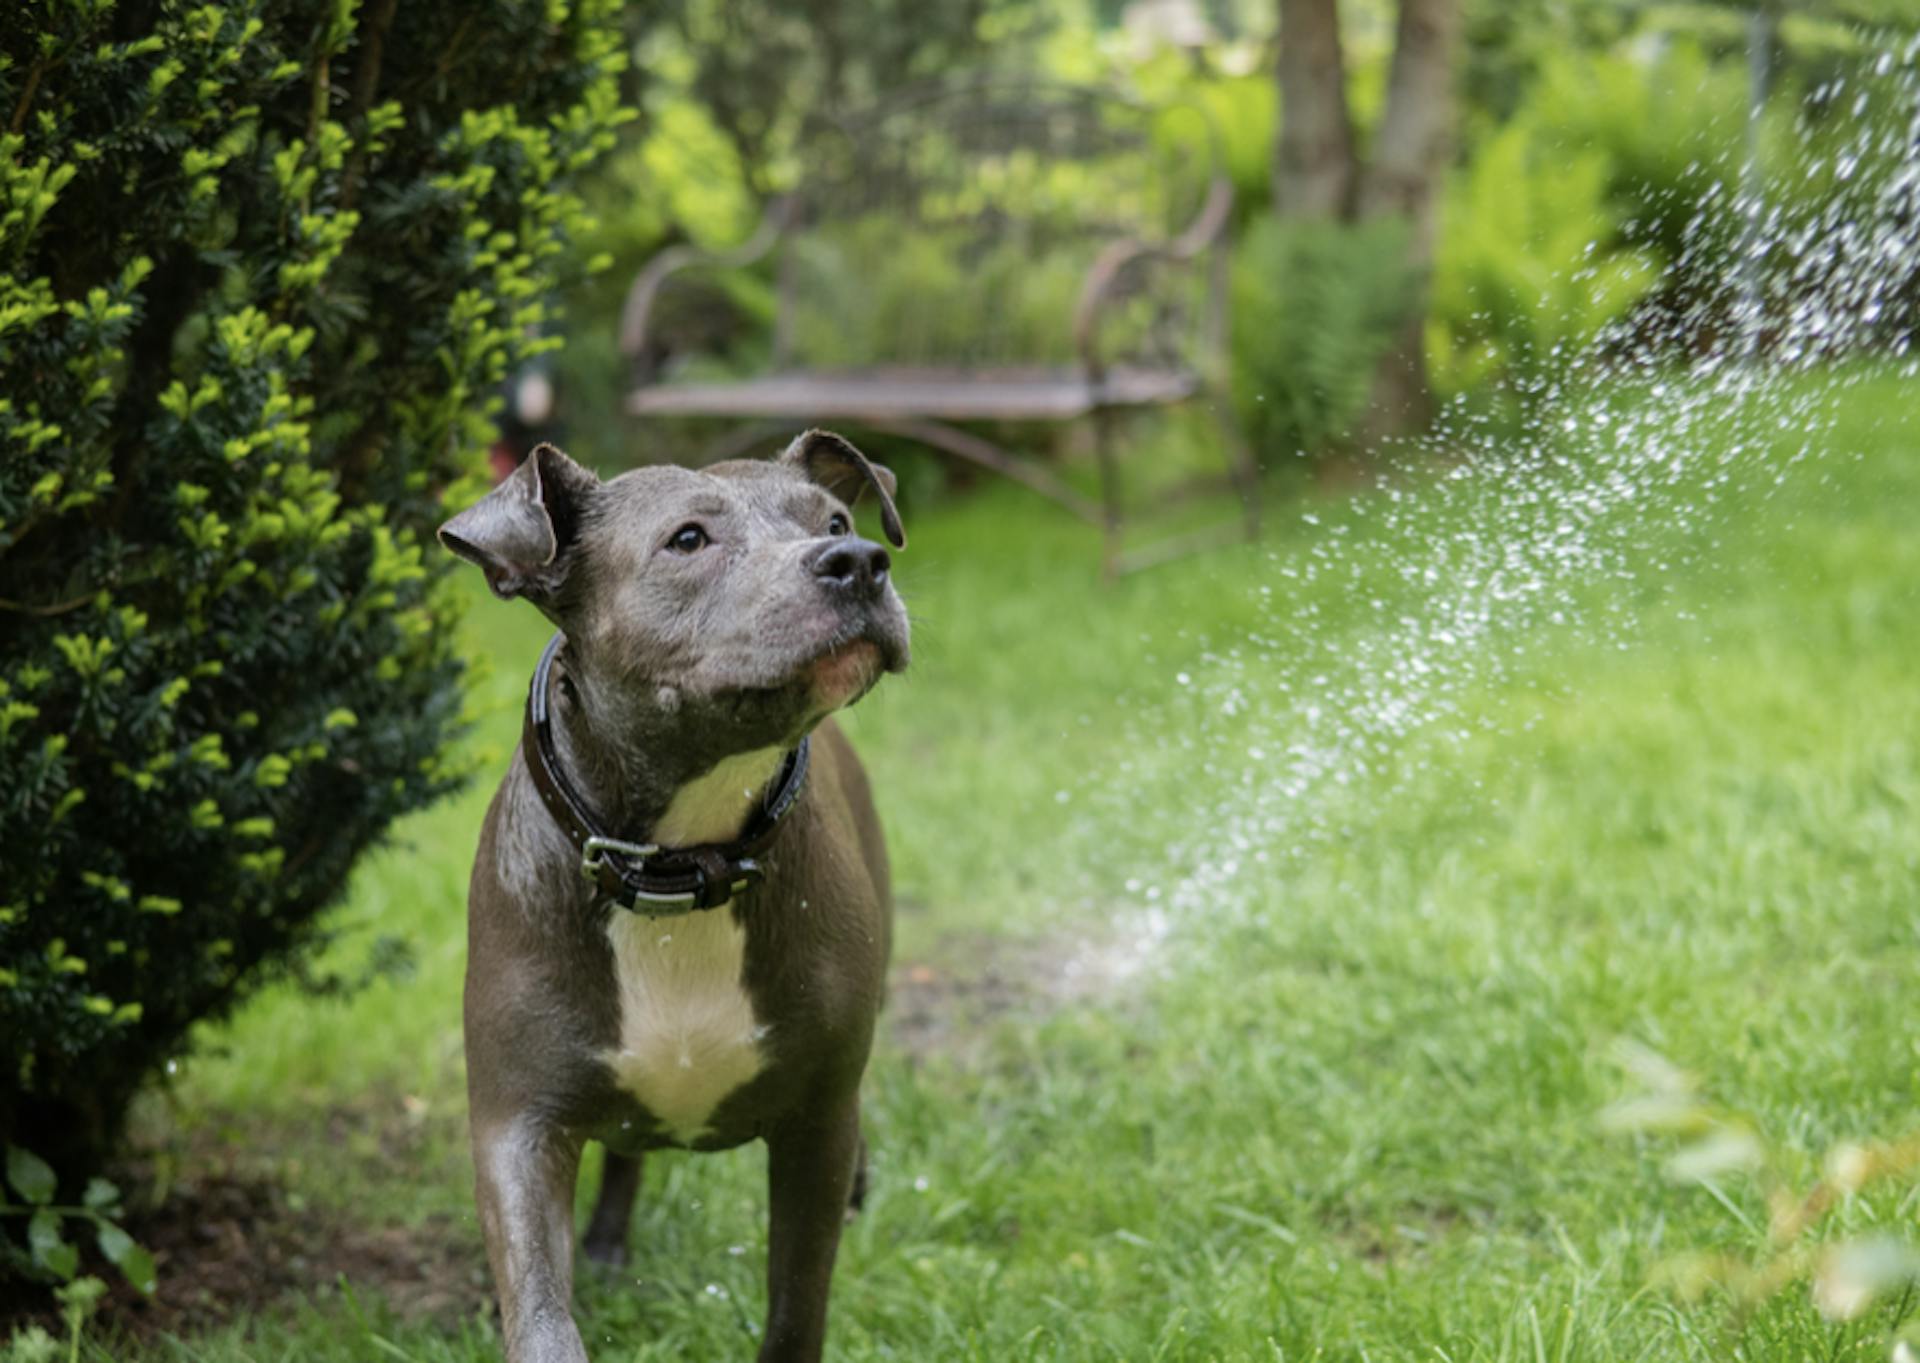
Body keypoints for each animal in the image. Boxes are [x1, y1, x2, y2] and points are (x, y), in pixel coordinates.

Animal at [439, 435, 910, 1363]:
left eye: (836, 520)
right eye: (688, 540)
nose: (858, 560)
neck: (680, 863)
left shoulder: (816, 1120)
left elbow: (796, 1303)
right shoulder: (517, 1124)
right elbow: (541, 1317)